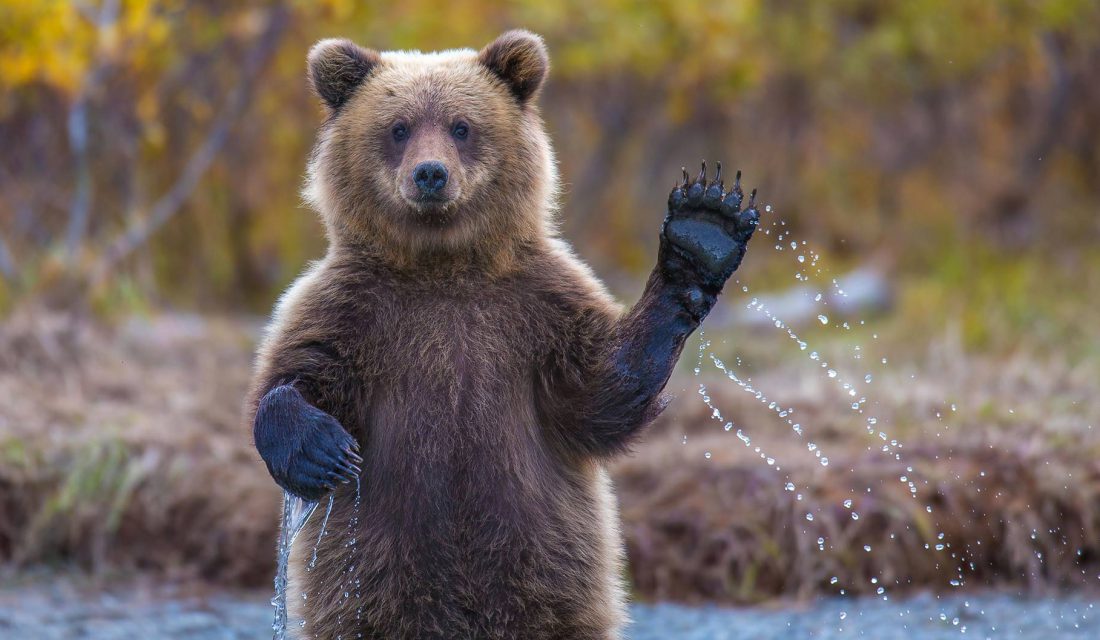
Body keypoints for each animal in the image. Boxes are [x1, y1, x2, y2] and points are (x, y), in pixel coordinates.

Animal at [245, 27, 761, 637]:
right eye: (398, 128)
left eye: (461, 126)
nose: (430, 174)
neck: (443, 265)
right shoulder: (352, 308)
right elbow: (296, 373)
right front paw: (321, 449)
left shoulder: (536, 307)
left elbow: (600, 392)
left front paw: (702, 231)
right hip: (370, 578)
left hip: (547, 571)